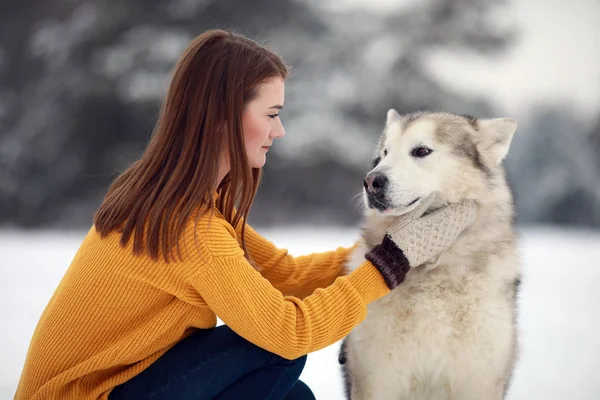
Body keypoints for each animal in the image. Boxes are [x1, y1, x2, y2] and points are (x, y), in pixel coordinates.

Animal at [340, 109, 524, 400]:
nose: (370, 181)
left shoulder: (478, 378)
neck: (434, 274)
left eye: (421, 151)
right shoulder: (378, 378)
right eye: (384, 153)